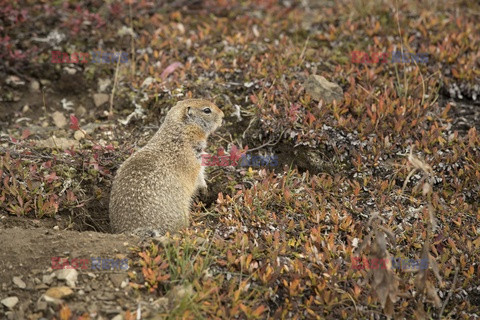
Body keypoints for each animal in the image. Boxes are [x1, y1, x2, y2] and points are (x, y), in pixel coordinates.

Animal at [110, 99, 225, 236]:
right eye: (207, 110)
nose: (223, 115)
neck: (181, 131)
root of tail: (130, 231)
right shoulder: (196, 160)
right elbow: (199, 178)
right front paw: (205, 190)